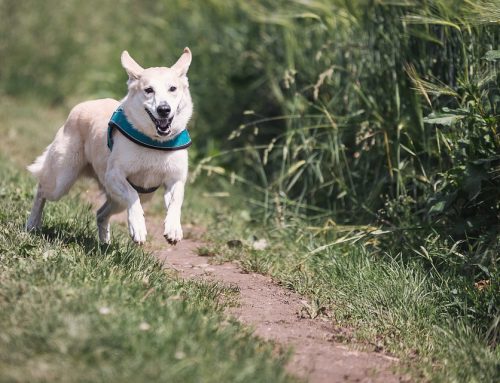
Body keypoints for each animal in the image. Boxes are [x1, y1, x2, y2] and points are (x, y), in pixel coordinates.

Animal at [24, 48, 193, 246]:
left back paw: (104, 243)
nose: (164, 109)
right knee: (41, 189)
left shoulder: (175, 179)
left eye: (173, 88)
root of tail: (82, 105)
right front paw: (138, 228)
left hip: (126, 198)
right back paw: (32, 224)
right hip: (61, 180)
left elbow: (176, 202)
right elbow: (132, 195)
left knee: (101, 213)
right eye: (149, 90)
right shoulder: (114, 175)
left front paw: (173, 229)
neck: (154, 142)